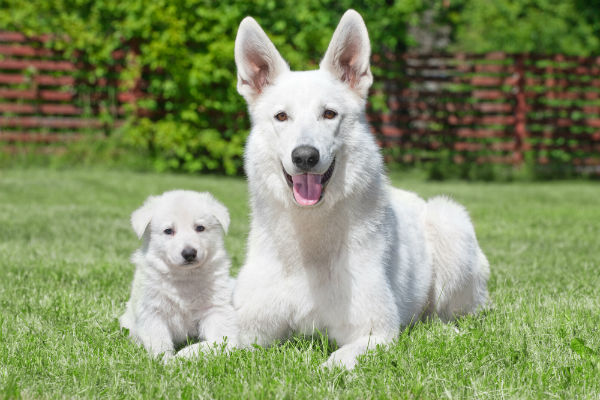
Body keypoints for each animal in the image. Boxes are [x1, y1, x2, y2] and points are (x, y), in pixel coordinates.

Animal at [118, 189, 238, 358]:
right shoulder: (152, 311)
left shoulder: (216, 309)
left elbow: (218, 341)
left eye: (200, 228)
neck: (184, 277)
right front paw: (166, 360)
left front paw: (185, 354)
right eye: (168, 231)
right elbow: (159, 342)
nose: (189, 253)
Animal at [232, 10, 490, 372]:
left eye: (329, 114)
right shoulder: (245, 331)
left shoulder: (374, 333)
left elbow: (333, 364)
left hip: (449, 223)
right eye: (281, 116)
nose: (305, 157)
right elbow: (196, 350)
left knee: (449, 316)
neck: (309, 245)